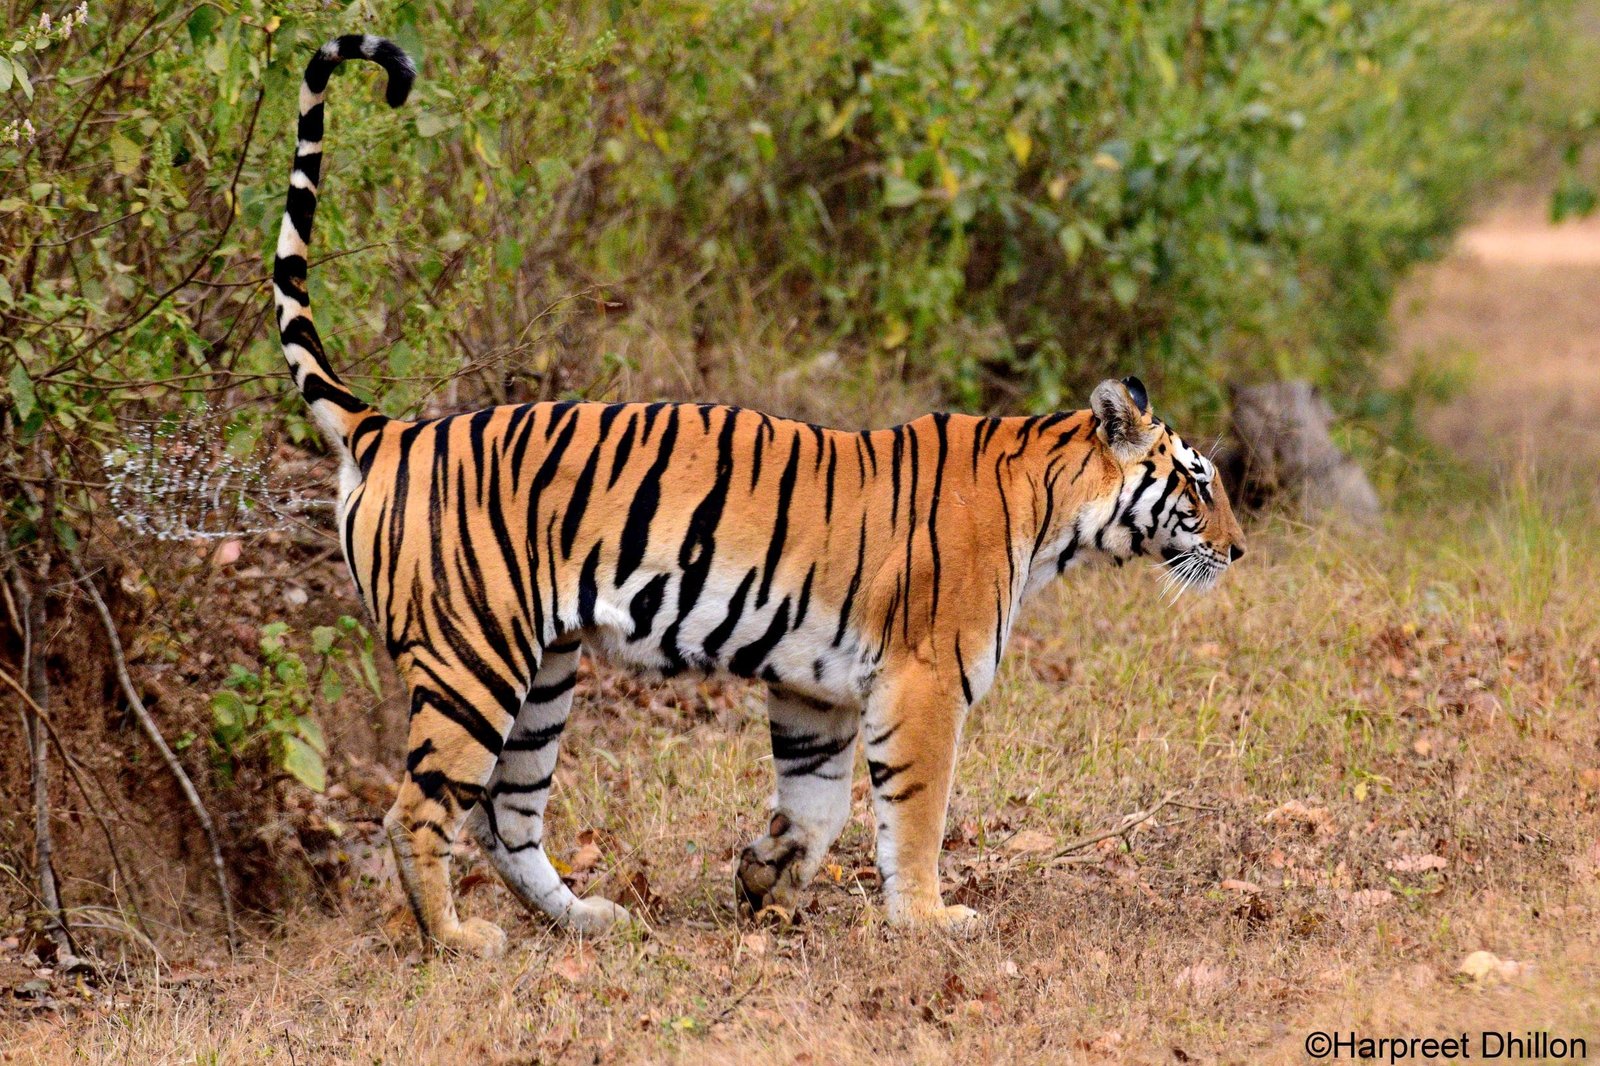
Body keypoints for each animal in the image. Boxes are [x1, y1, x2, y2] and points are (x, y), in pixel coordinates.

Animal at [272, 37, 1246, 956]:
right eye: (1199, 484)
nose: (1238, 550)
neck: (1050, 513)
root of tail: (388, 430)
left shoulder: (819, 688)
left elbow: (819, 805)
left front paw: (765, 877)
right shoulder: (923, 681)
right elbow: (916, 814)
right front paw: (929, 920)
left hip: (542, 669)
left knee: (506, 816)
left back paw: (586, 919)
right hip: (471, 657)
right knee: (419, 810)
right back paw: (456, 939)